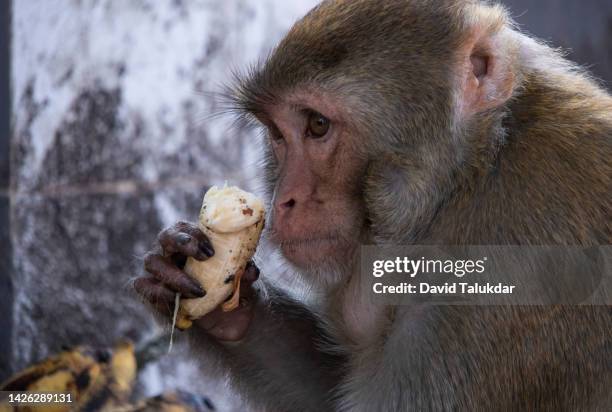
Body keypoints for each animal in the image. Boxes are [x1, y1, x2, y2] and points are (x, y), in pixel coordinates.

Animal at [131, 0, 608, 410]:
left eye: (317, 125)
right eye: (278, 134)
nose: (285, 199)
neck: (470, 177)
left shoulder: (507, 275)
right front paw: (191, 277)